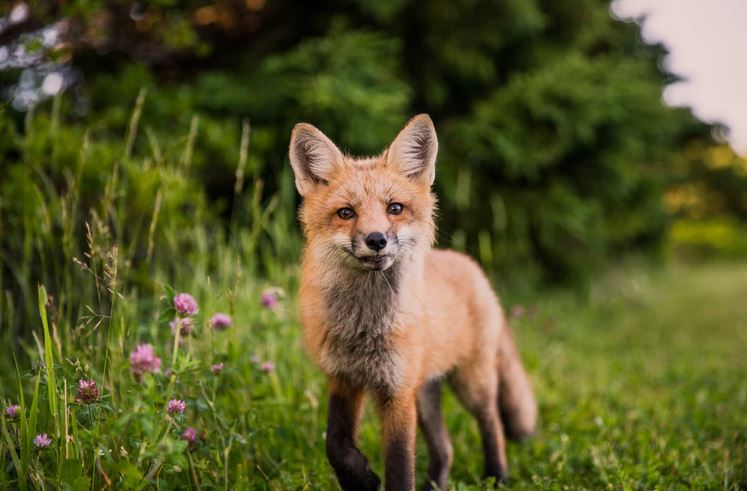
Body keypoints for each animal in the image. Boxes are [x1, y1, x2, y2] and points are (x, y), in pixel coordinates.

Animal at [288, 115, 536, 491]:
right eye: (346, 213)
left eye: (395, 208)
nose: (376, 239)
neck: (364, 329)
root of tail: (469, 264)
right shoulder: (343, 378)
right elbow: (335, 444)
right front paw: (361, 479)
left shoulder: (397, 391)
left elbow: (400, 465)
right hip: (426, 392)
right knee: (446, 448)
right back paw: (437, 484)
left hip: (471, 382)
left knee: (491, 421)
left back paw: (497, 475)